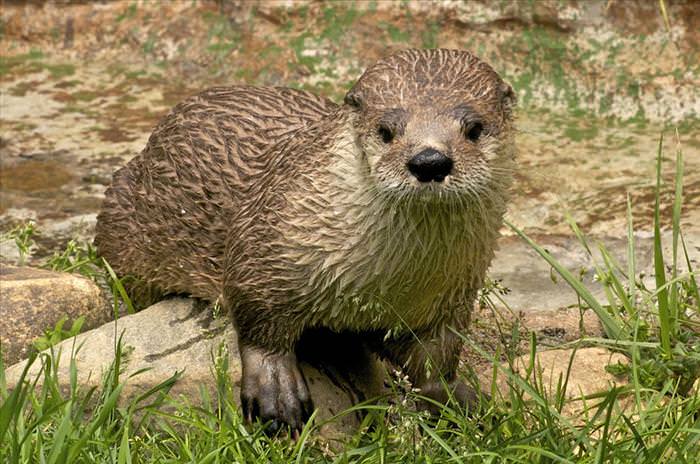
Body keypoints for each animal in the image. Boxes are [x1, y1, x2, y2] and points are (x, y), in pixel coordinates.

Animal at [94, 48, 516, 432]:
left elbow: (435, 356)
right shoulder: (265, 245)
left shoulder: (451, 295)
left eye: (474, 128)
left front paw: (453, 399)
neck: (390, 283)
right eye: (386, 131)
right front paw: (276, 390)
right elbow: (258, 322)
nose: (429, 161)